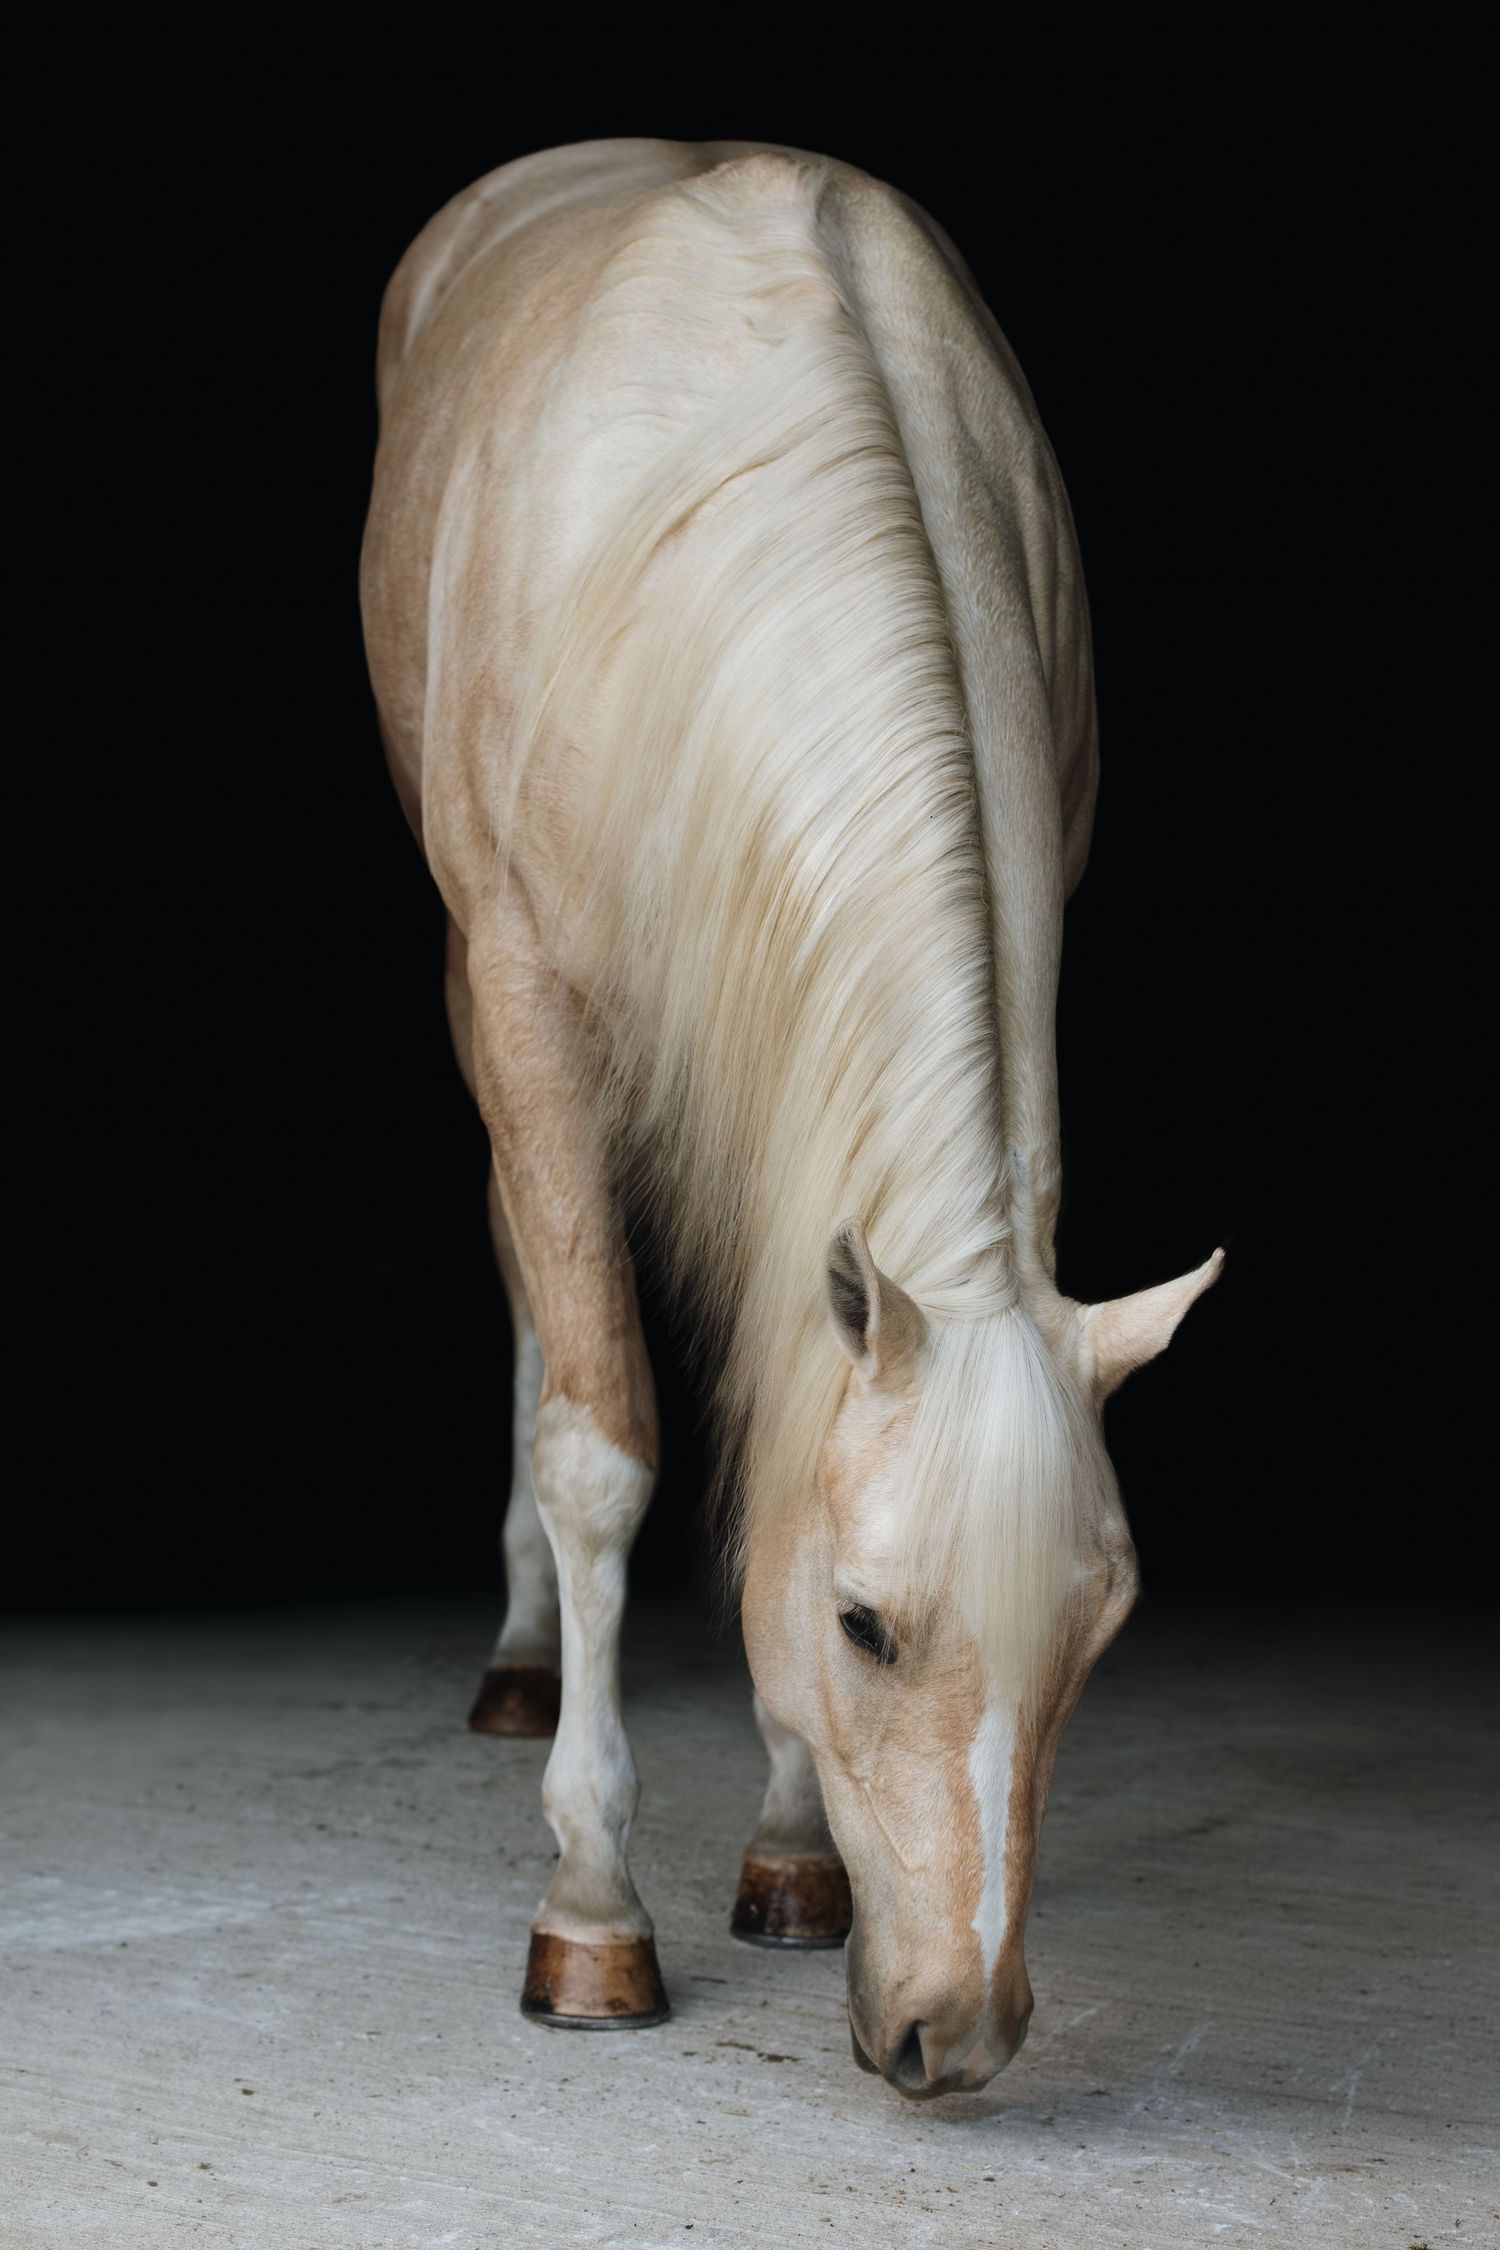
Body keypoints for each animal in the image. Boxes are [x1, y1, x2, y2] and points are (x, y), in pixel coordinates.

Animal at [359, 136, 1221, 2101]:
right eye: (865, 1624)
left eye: (1101, 1631)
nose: (954, 2035)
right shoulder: (531, 996)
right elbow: (601, 1446)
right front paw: (594, 1912)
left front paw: (792, 1855)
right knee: (528, 1282)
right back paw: (521, 1653)